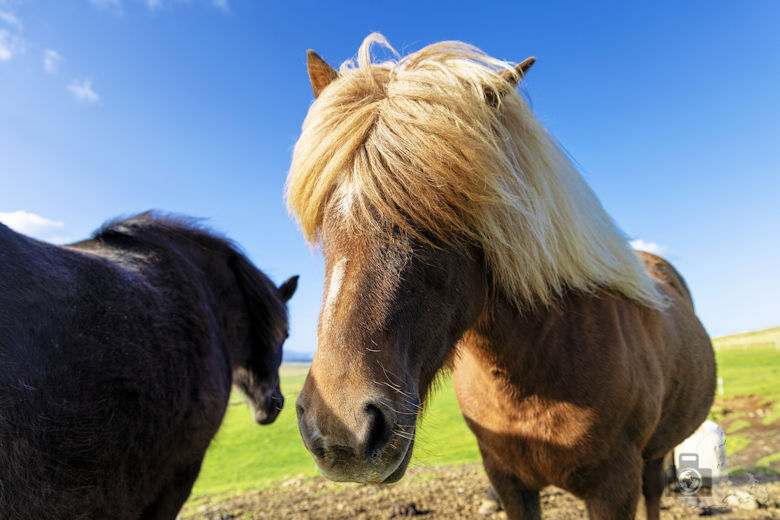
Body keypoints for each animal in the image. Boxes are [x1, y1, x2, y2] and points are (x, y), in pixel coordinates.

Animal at [287, 34, 716, 520]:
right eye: (325, 216)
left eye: (447, 205)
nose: (342, 432)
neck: (531, 376)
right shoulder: (508, 481)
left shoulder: (614, 488)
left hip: (651, 457)